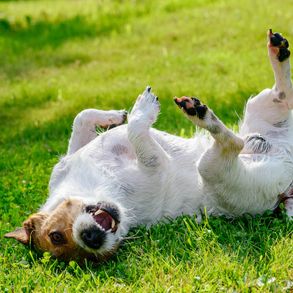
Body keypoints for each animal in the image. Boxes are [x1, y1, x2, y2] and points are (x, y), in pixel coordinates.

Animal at [4, 30, 292, 262]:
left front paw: (115, 116)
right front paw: (140, 110)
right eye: (91, 259)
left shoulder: (67, 161)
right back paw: (200, 113)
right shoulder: (155, 165)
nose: (91, 239)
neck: (97, 186)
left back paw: (277, 51)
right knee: (235, 141)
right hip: (216, 169)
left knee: (283, 95)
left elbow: (81, 118)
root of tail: (286, 191)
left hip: (259, 107)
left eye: (55, 235)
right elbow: (136, 132)